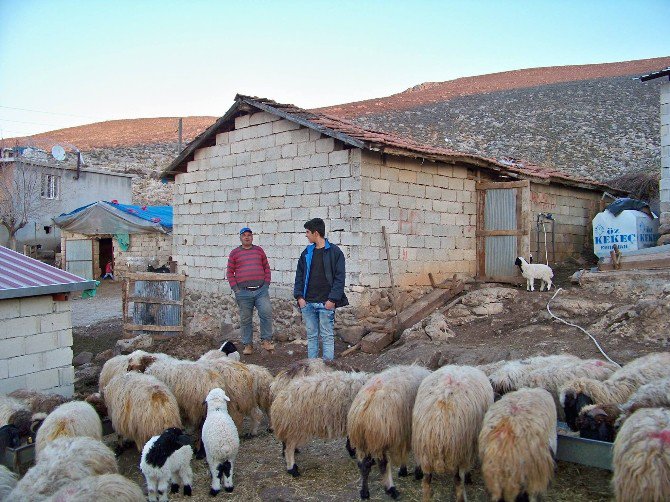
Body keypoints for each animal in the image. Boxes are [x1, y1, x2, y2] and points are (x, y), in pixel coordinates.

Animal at [346, 364, 430, 498]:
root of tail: (363, 411)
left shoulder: (404, 430)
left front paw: (404, 470)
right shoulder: (412, 430)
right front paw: (416, 472)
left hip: (361, 440)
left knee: (363, 465)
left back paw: (364, 492)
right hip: (381, 438)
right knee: (383, 464)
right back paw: (391, 489)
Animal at [412, 364, 496, 502]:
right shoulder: (469, 449)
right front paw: (469, 478)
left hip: (425, 453)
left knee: (426, 482)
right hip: (458, 451)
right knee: (457, 480)